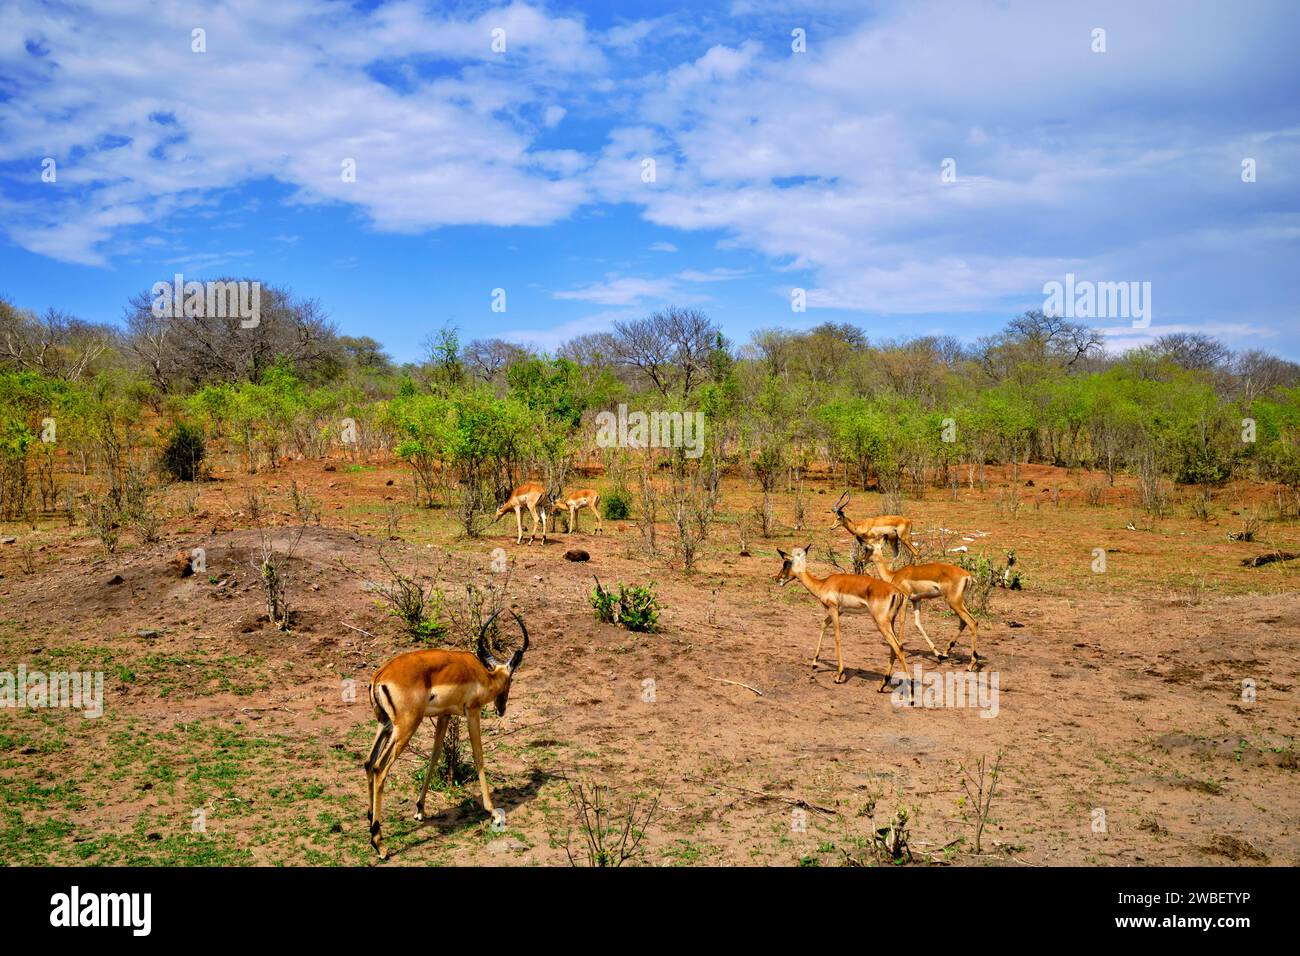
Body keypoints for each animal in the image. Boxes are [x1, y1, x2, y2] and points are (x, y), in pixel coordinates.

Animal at [364, 610, 530, 859]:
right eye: (511, 680)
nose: (502, 709)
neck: (483, 675)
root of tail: (380, 676)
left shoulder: (444, 716)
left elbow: (434, 756)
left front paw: (420, 810)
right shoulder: (472, 712)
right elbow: (479, 756)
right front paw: (493, 811)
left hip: (385, 725)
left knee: (368, 762)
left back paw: (370, 822)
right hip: (406, 727)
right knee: (379, 768)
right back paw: (379, 844)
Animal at [774, 544, 911, 691]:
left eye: (786, 563)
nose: (777, 579)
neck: (822, 584)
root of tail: (897, 592)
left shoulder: (833, 609)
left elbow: (837, 636)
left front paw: (839, 675)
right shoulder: (839, 611)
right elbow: (823, 624)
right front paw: (815, 663)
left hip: (881, 623)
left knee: (898, 648)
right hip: (890, 622)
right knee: (894, 647)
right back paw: (882, 685)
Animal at [867, 536, 981, 670]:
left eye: (867, 548)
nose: (862, 559)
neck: (894, 575)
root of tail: (968, 575)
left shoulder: (905, 598)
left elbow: (902, 621)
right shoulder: (916, 600)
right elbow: (918, 624)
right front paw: (937, 654)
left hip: (954, 602)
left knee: (972, 622)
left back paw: (971, 664)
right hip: (958, 603)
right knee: (964, 622)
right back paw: (945, 653)